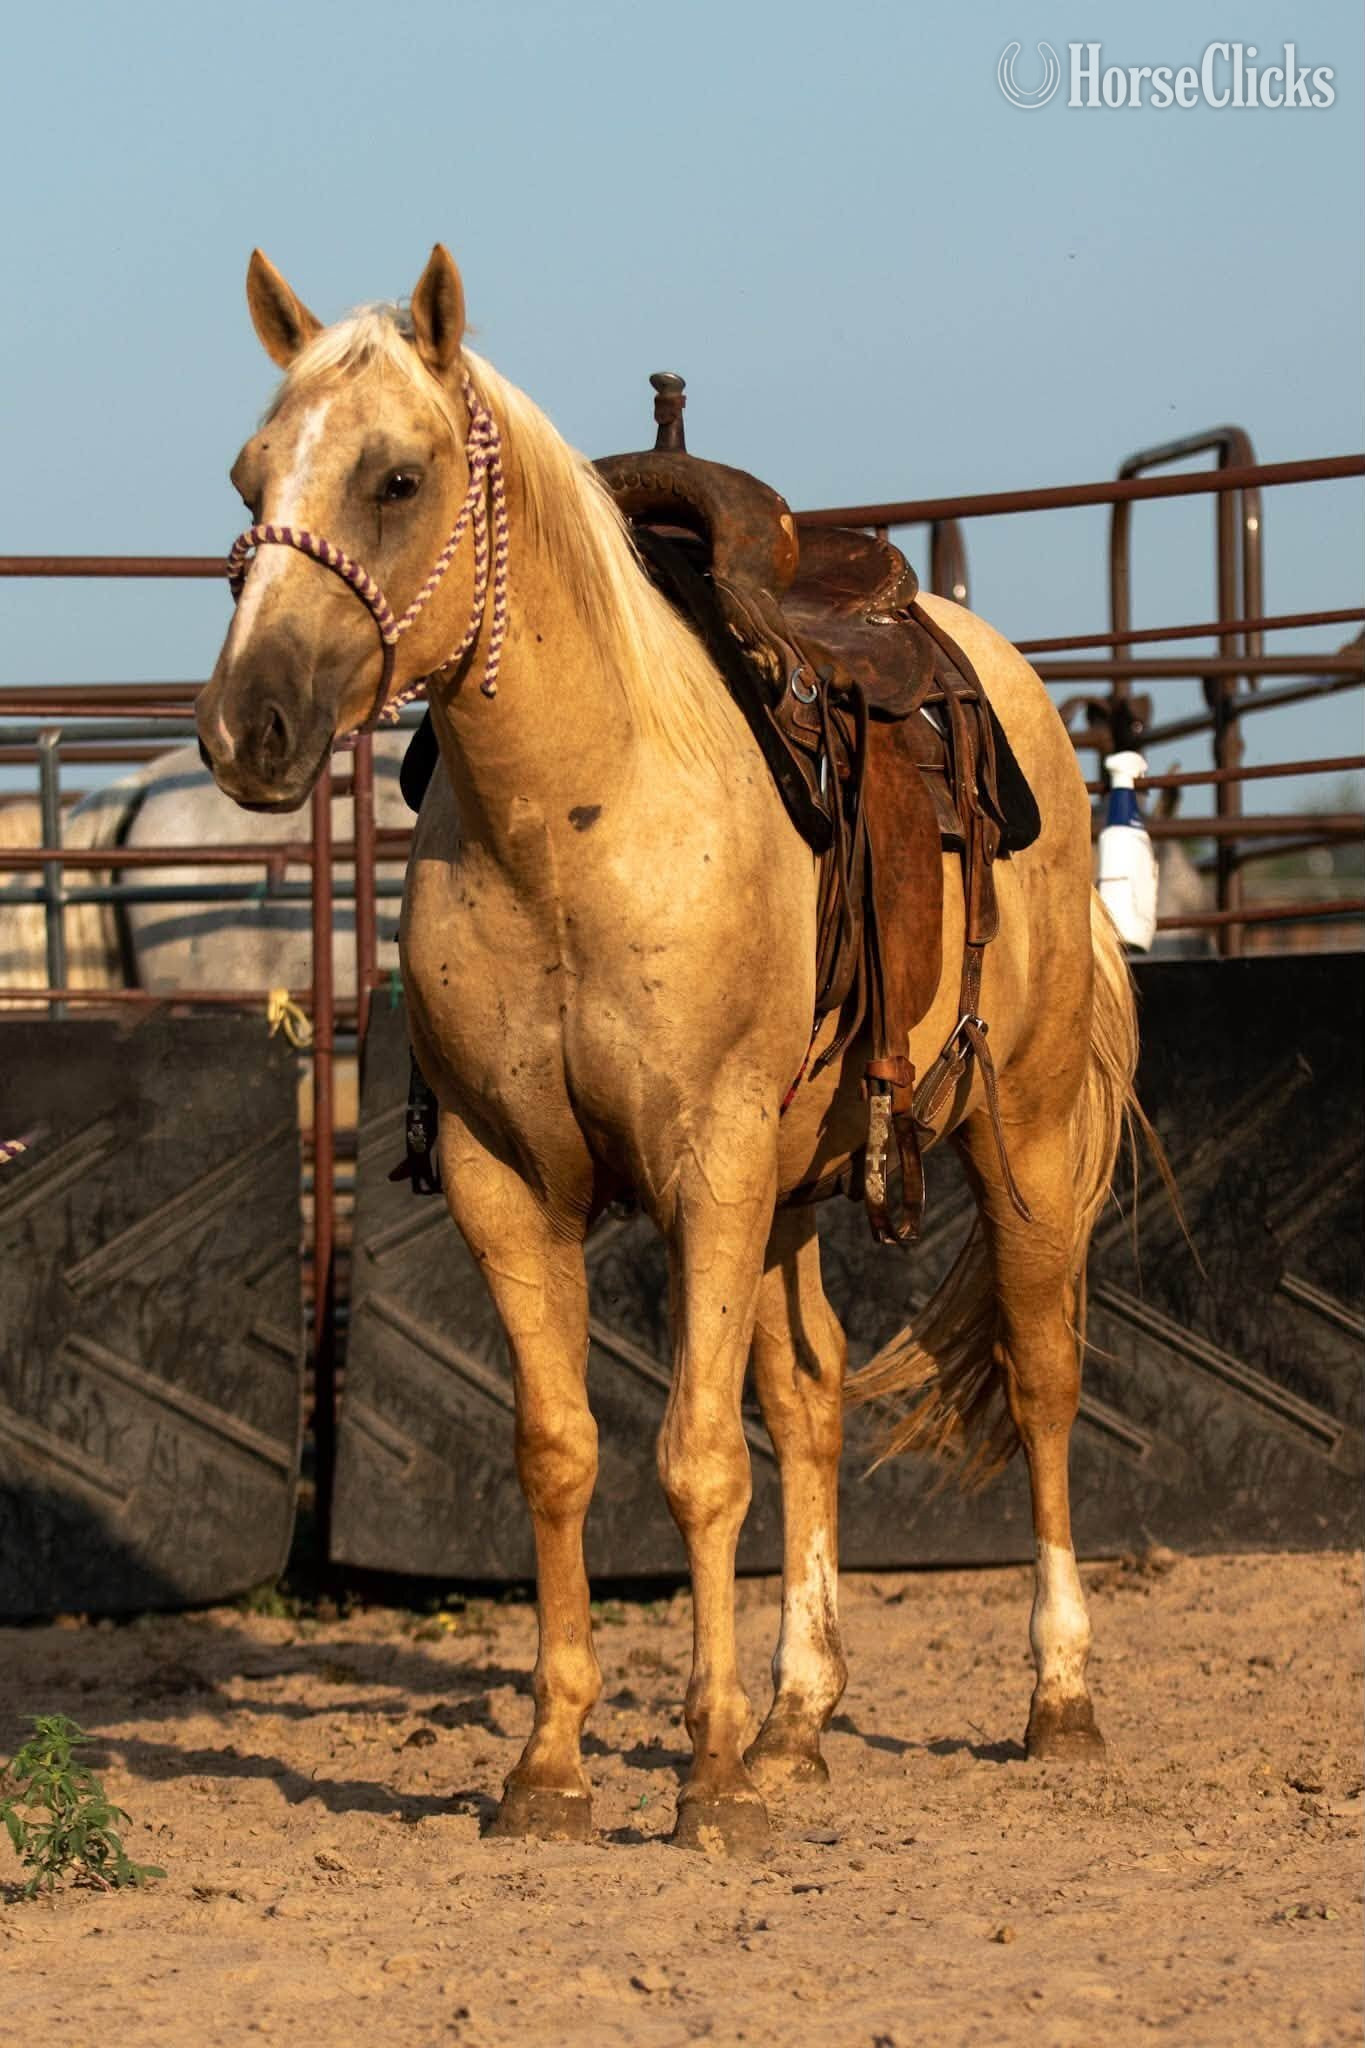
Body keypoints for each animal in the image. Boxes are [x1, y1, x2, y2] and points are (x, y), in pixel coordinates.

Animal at [196, 245, 1141, 1855]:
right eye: (250, 473)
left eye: (396, 477)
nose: (245, 725)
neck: (574, 817)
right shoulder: (510, 1181)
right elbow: (562, 1450)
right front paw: (555, 1766)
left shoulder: (708, 1164)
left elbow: (696, 1457)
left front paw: (704, 1775)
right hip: (796, 1186)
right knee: (812, 1398)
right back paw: (799, 1718)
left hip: (1014, 1128)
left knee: (1038, 1373)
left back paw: (1058, 1699)